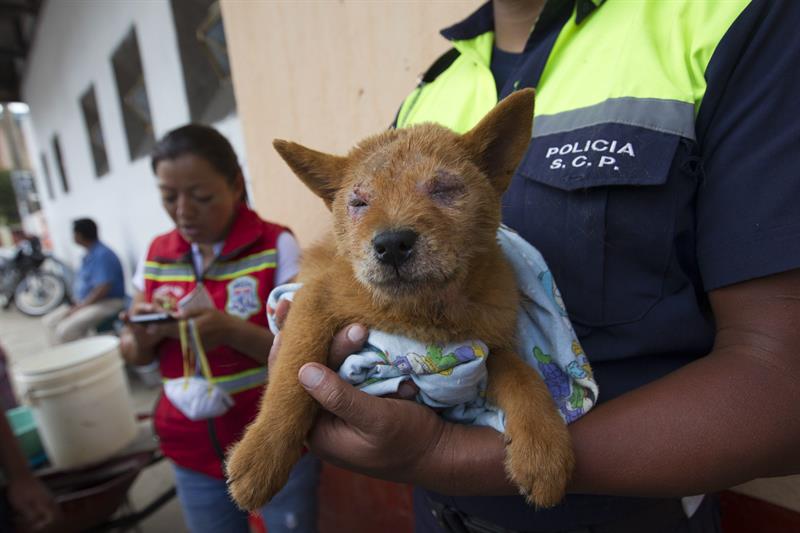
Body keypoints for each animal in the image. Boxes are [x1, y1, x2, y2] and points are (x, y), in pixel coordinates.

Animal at [227, 88, 576, 512]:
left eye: (443, 189)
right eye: (359, 202)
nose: (392, 244)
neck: (422, 313)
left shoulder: (482, 346)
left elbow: (523, 373)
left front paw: (544, 448)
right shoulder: (315, 296)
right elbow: (293, 372)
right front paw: (262, 454)